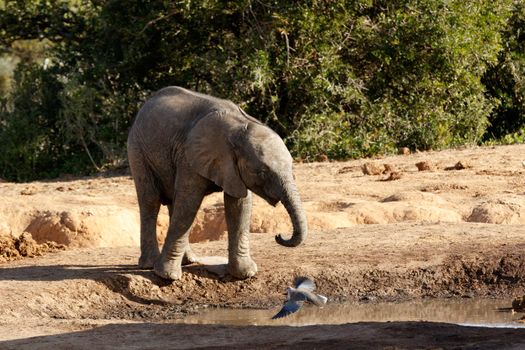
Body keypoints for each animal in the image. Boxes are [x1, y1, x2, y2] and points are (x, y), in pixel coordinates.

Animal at [127, 86, 308, 280]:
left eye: (292, 168)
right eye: (261, 172)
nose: (279, 236)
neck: (240, 127)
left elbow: (239, 205)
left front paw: (245, 274)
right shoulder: (190, 157)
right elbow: (189, 204)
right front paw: (168, 276)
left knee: (173, 201)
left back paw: (188, 261)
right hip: (137, 150)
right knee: (151, 201)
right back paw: (150, 264)